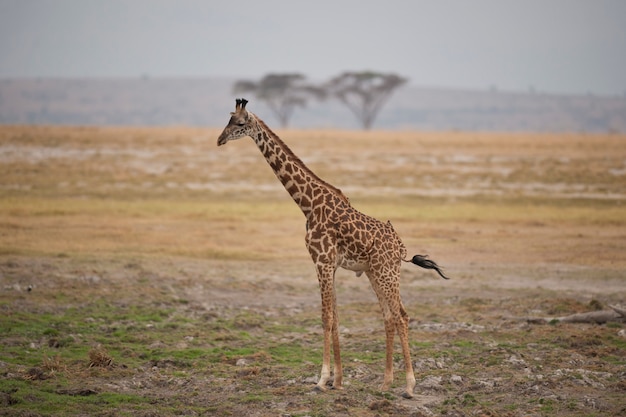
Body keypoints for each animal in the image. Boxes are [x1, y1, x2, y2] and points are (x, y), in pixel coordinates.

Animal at [217, 98, 446, 400]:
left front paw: (322, 379)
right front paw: (338, 381)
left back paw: (409, 386)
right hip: (374, 273)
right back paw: (385, 383)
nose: (219, 139)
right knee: (389, 316)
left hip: (387, 273)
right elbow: (336, 316)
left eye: (240, 123)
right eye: (228, 119)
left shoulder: (322, 261)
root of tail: (400, 246)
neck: (308, 204)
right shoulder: (330, 265)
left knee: (402, 316)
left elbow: (326, 317)